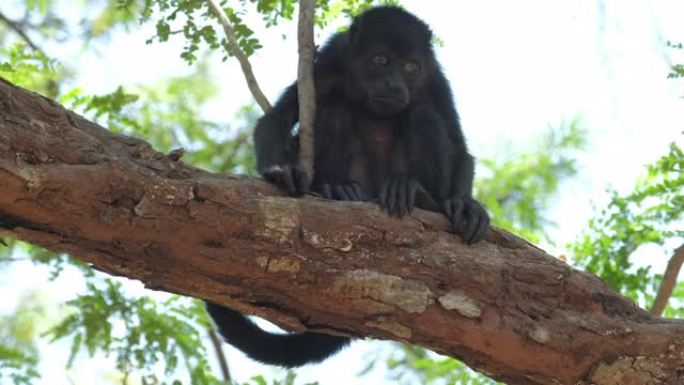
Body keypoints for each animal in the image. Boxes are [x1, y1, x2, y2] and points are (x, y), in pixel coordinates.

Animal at [206, 5, 488, 366]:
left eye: (411, 67)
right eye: (381, 60)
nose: (395, 85)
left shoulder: (435, 79)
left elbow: (459, 146)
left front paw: (465, 205)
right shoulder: (329, 61)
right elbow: (279, 118)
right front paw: (282, 171)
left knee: (423, 115)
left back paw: (423, 197)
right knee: (335, 109)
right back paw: (339, 189)